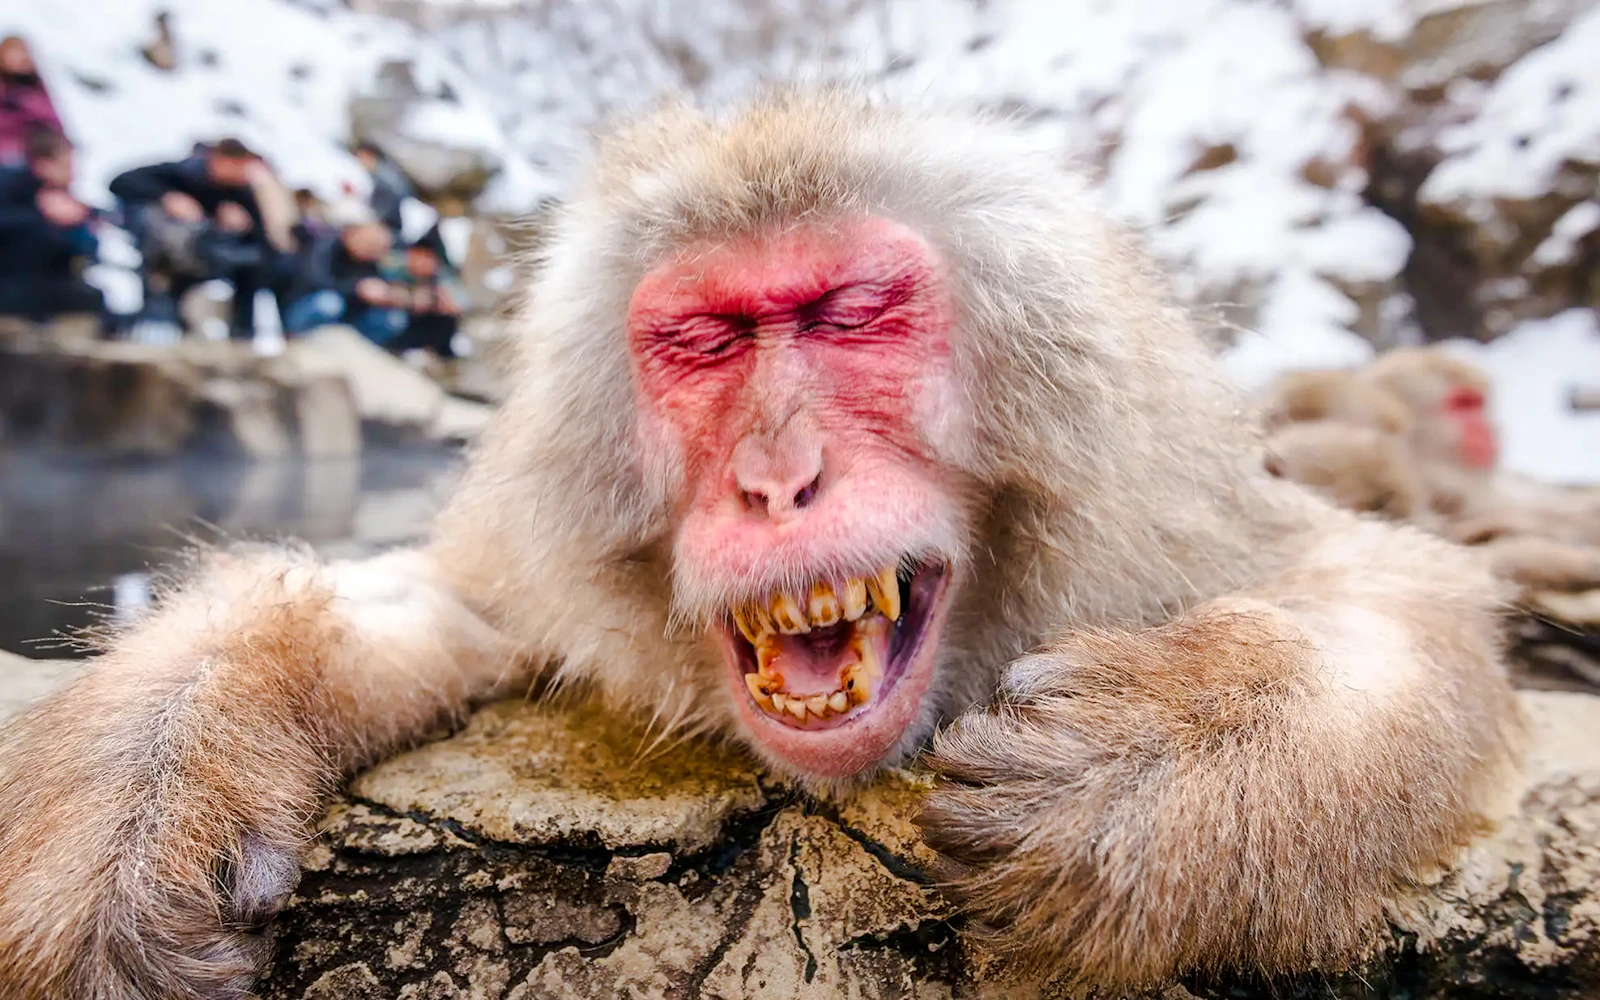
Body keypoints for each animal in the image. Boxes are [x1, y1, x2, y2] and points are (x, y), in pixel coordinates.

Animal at [0, 90, 1525, 997]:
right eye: (706, 341)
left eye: (848, 314)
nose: (776, 478)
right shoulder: (527, 573)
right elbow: (416, 604)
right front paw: (141, 802)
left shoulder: (1184, 514)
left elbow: (1393, 591)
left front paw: (1169, 756)